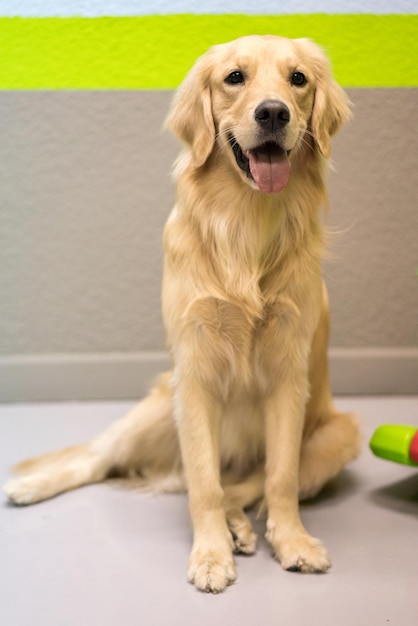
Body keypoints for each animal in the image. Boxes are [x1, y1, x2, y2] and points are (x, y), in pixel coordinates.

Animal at [3, 34, 360, 588]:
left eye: (298, 79)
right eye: (234, 77)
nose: (273, 112)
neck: (246, 223)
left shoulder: (287, 376)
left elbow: (278, 477)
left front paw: (292, 541)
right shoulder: (194, 374)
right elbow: (203, 484)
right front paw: (211, 554)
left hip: (339, 435)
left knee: (248, 484)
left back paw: (243, 528)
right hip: (154, 411)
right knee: (99, 456)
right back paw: (33, 485)